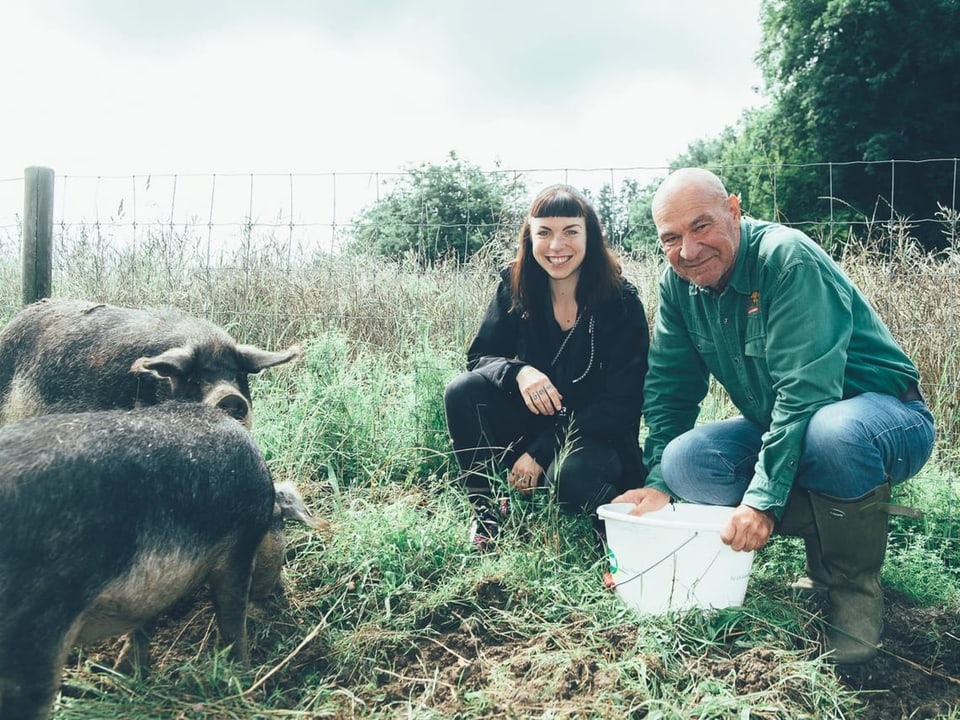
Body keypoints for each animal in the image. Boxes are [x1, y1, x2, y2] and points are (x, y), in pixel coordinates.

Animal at [0, 404, 292, 720]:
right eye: (281, 526)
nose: (279, 590)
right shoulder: (239, 545)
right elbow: (233, 621)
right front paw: (247, 680)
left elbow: (144, 622)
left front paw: (127, 673)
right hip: (33, 638)